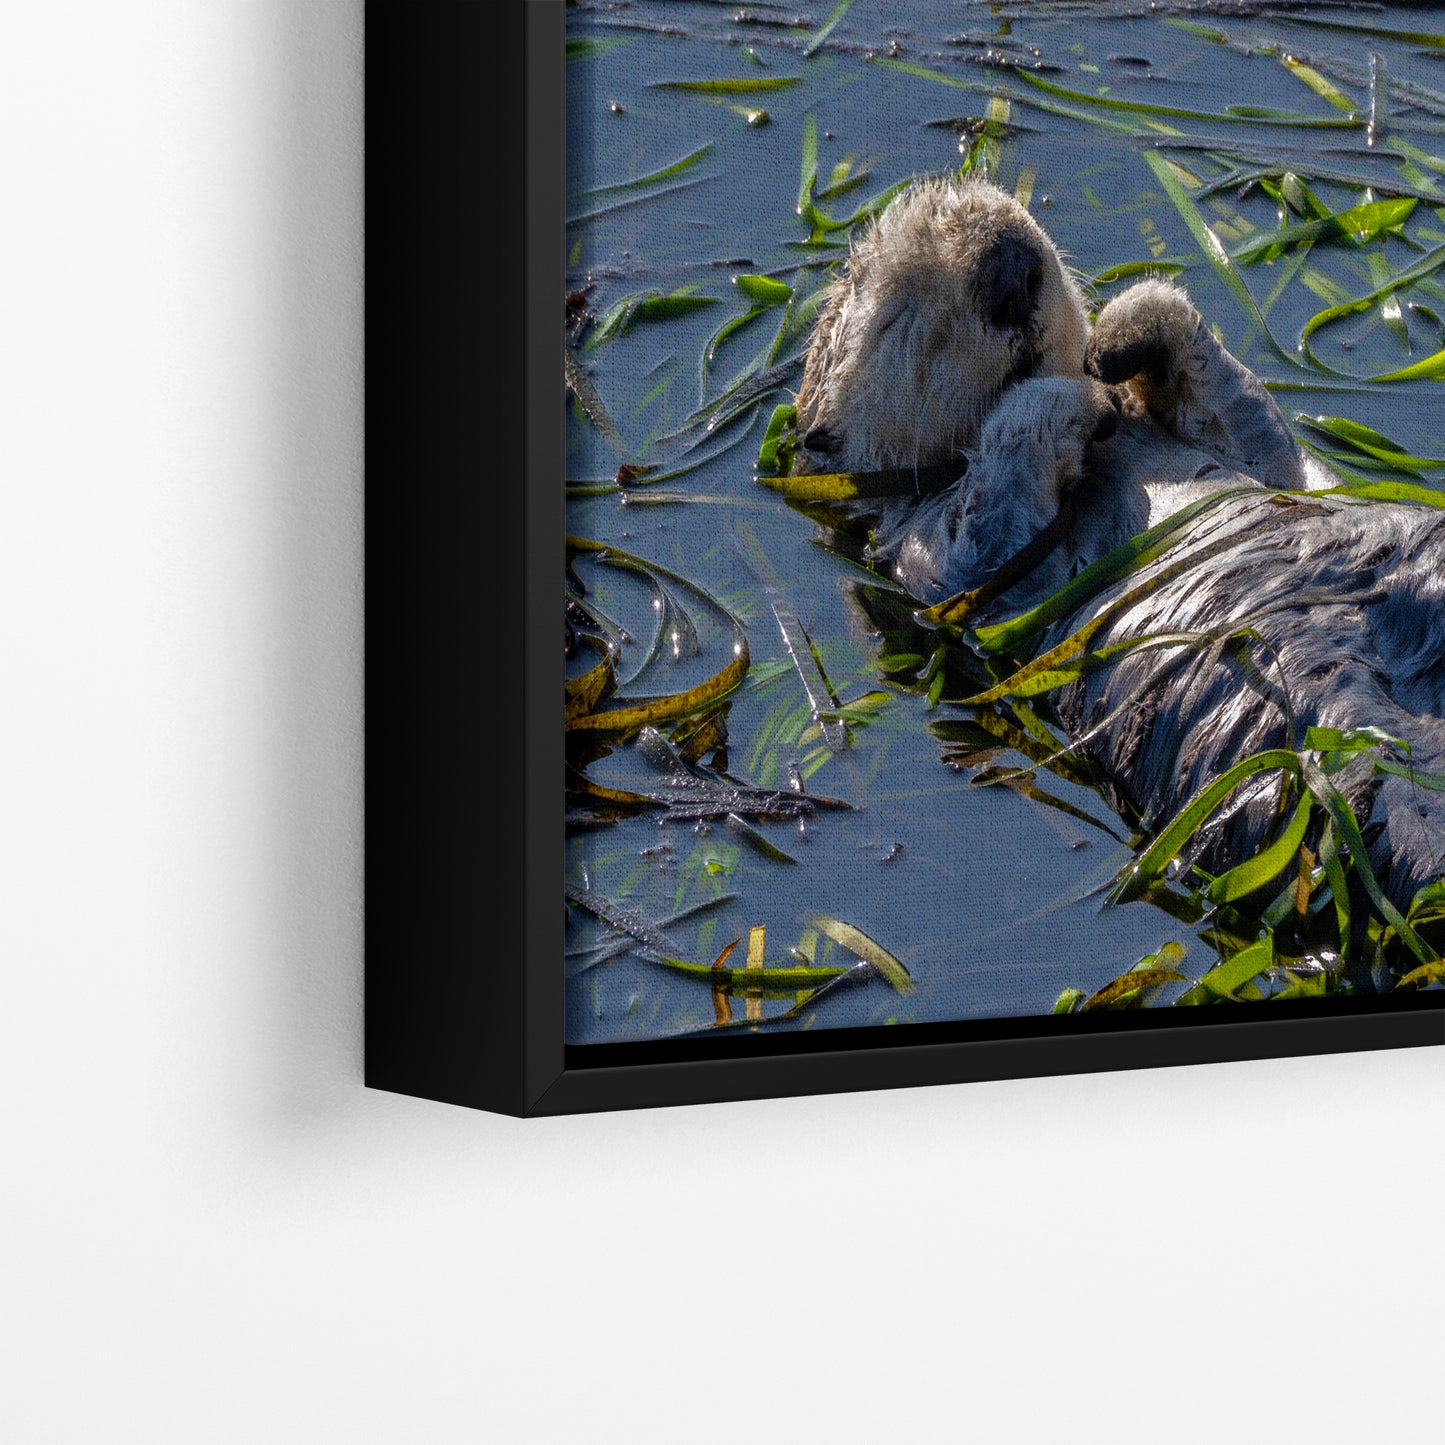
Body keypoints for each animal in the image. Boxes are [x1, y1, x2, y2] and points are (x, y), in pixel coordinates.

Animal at [793, 176, 1445, 912]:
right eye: (896, 320)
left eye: (1017, 220)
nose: (1010, 269)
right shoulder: (933, 554)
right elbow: (991, 530)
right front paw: (1073, 397)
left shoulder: (1263, 461)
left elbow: (1254, 427)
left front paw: (1120, 337)